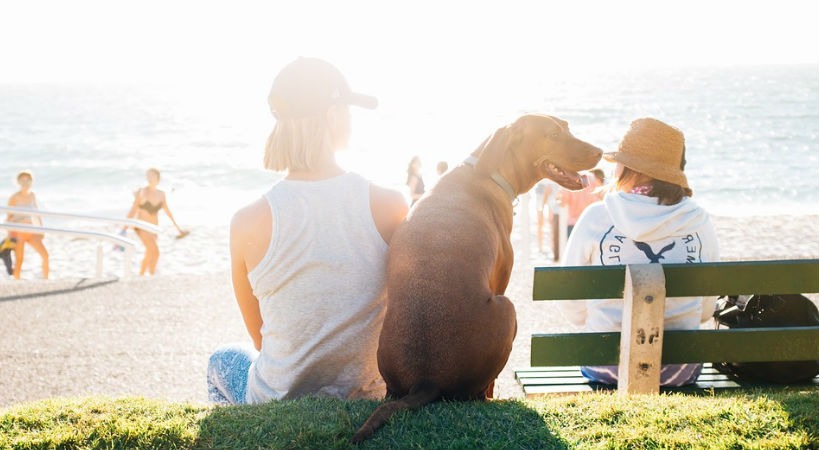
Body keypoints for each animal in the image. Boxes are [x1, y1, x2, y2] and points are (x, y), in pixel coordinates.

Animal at [350, 113, 604, 442]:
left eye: (568, 128)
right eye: (552, 134)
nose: (600, 152)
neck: (488, 170)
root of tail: (426, 380)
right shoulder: (501, 280)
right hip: (508, 308)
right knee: (482, 390)